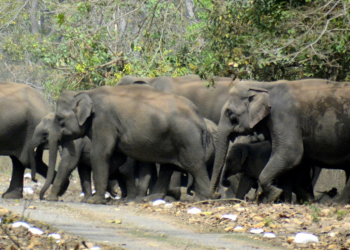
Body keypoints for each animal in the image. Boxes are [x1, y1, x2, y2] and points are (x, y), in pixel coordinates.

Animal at [45, 85, 212, 204]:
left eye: (59, 118)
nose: (44, 198)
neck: (86, 92)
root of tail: (200, 117)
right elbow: (116, 157)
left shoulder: (103, 121)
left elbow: (100, 154)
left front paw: (95, 200)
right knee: (167, 167)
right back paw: (149, 199)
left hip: (187, 138)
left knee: (195, 165)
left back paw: (202, 199)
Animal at [211, 79, 350, 204]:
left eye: (230, 113)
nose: (217, 195)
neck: (263, 85)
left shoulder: (284, 118)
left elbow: (290, 154)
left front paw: (274, 196)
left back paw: (337, 203)